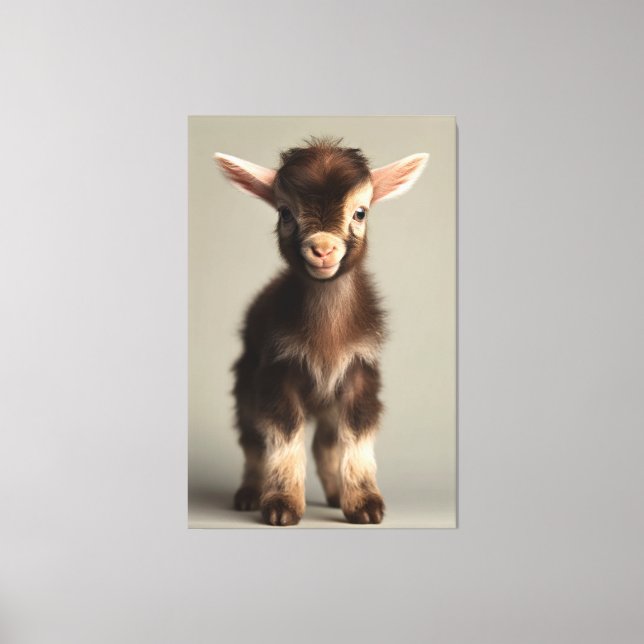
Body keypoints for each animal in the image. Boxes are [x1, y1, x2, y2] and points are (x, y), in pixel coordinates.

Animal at [214, 137, 428, 526]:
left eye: (361, 213)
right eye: (285, 212)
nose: (323, 248)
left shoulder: (360, 371)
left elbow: (356, 436)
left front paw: (365, 504)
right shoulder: (276, 372)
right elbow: (284, 436)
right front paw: (281, 505)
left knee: (325, 442)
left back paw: (334, 493)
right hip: (245, 382)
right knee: (252, 440)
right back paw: (250, 493)